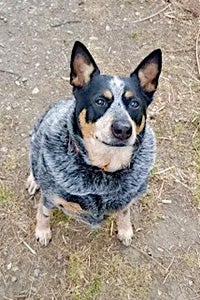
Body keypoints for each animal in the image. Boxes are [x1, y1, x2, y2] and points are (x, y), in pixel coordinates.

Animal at [26, 41, 162, 247]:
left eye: (135, 104)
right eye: (100, 101)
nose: (123, 129)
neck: (102, 170)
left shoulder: (126, 199)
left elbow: (125, 212)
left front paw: (125, 230)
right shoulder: (50, 196)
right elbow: (44, 212)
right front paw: (42, 231)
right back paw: (33, 181)